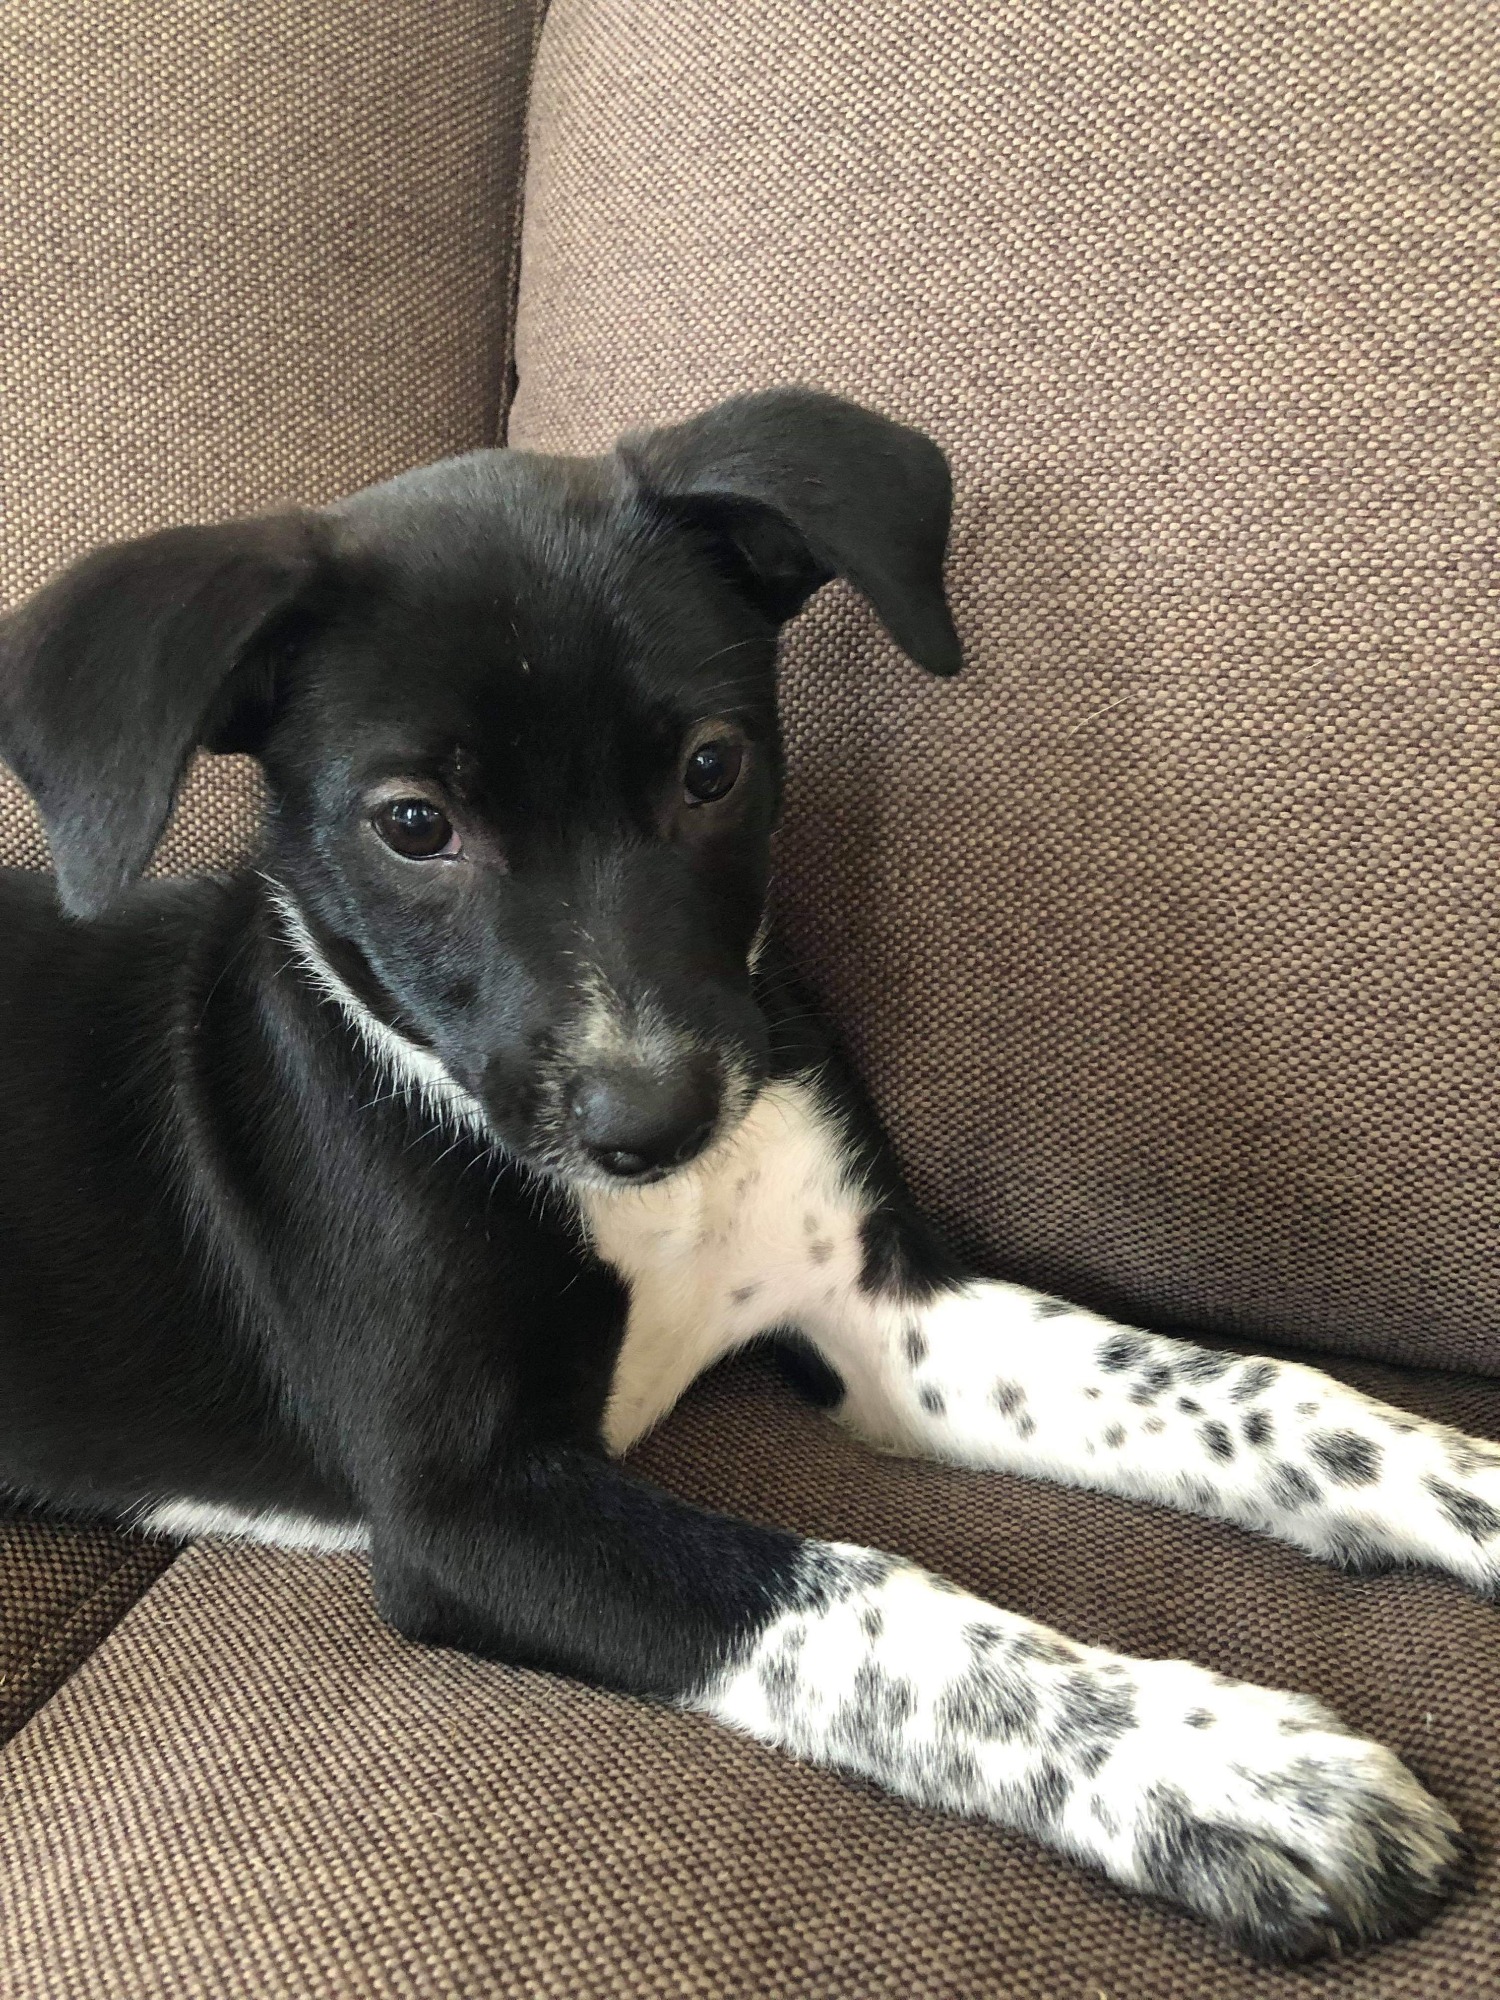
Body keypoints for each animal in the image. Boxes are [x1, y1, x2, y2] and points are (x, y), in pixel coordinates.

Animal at [0, 387, 1491, 1962]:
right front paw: (1217, 1766)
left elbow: (1252, 1389)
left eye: (711, 767)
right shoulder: (464, 1511)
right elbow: (865, 1596)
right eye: (412, 823)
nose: (651, 1116)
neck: (657, 1209)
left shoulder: (883, 1308)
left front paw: (1467, 1487)